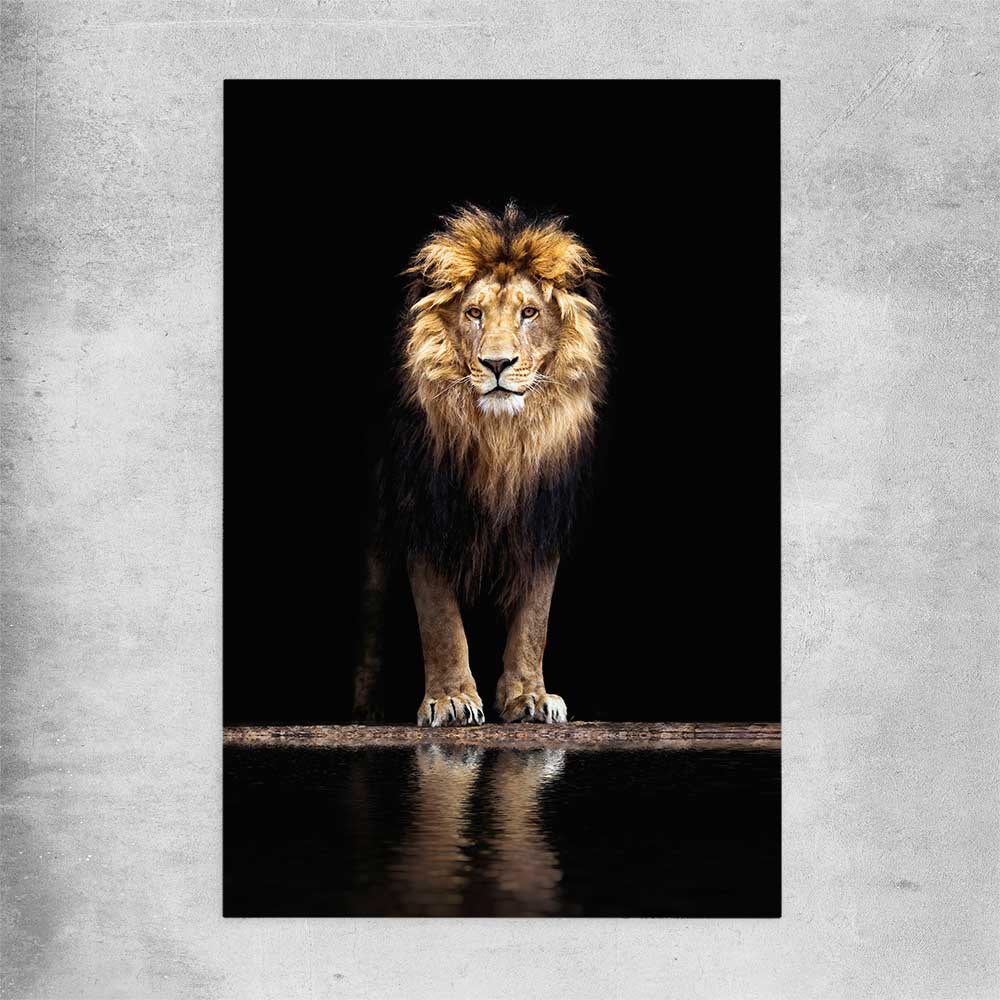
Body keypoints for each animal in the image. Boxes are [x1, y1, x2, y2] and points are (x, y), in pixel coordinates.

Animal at [354, 203, 608, 726]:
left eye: (529, 313)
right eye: (474, 313)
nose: (496, 363)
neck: (500, 441)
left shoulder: (540, 519)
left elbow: (534, 619)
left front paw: (530, 697)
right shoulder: (425, 511)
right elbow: (440, 621)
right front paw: (450, 699)